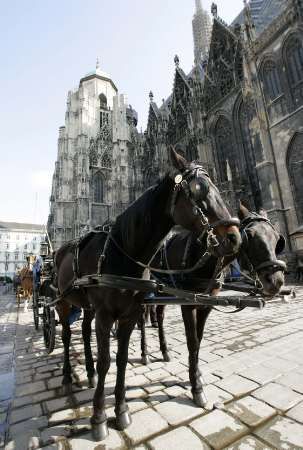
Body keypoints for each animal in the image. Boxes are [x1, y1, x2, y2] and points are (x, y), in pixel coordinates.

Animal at [53, 149, 241, 442]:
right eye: (197, 190)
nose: (234, 237)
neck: (124, 253)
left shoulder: (130, 314)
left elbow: (120, 360)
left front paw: (121, 411)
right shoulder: (107, 315)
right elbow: (107, 361)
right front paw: (98, 418)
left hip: (87, 306)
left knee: (84, 332)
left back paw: (90, 373)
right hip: (62, 302)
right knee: (64, 335)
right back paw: (66, 376)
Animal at [140, 204, 288, 408]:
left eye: (276, 237)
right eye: (250, 236)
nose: (276, 281)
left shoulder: (206, 304)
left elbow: (200, 340)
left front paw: (197, 375)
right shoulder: (188, 303)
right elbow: (192, 342)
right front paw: (196, 387)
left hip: (164, 291)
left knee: (159, 315)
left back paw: (164, 351)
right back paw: (145, 353)